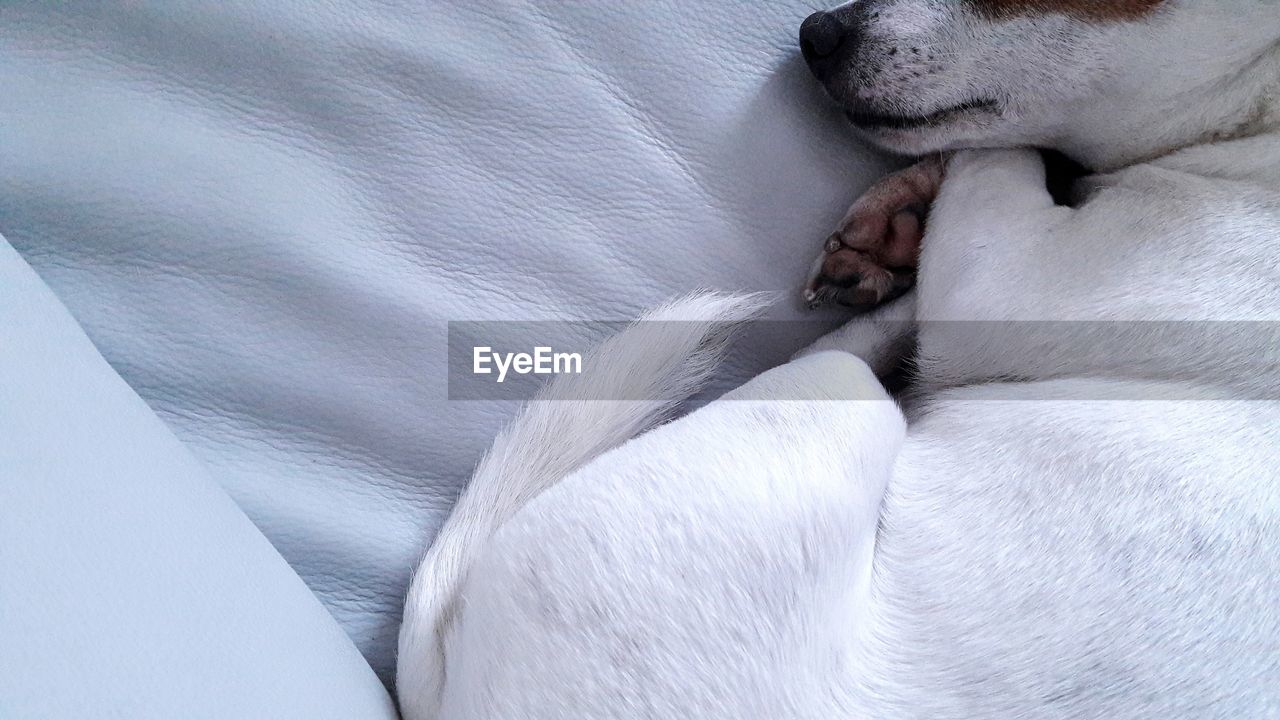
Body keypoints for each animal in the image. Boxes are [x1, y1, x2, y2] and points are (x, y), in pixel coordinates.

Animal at [399, 2, 1280, 712]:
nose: (817, 31)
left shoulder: (1005, 272)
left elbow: (996, 153)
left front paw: (907, 214)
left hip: (831, 398)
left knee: (846, 354)